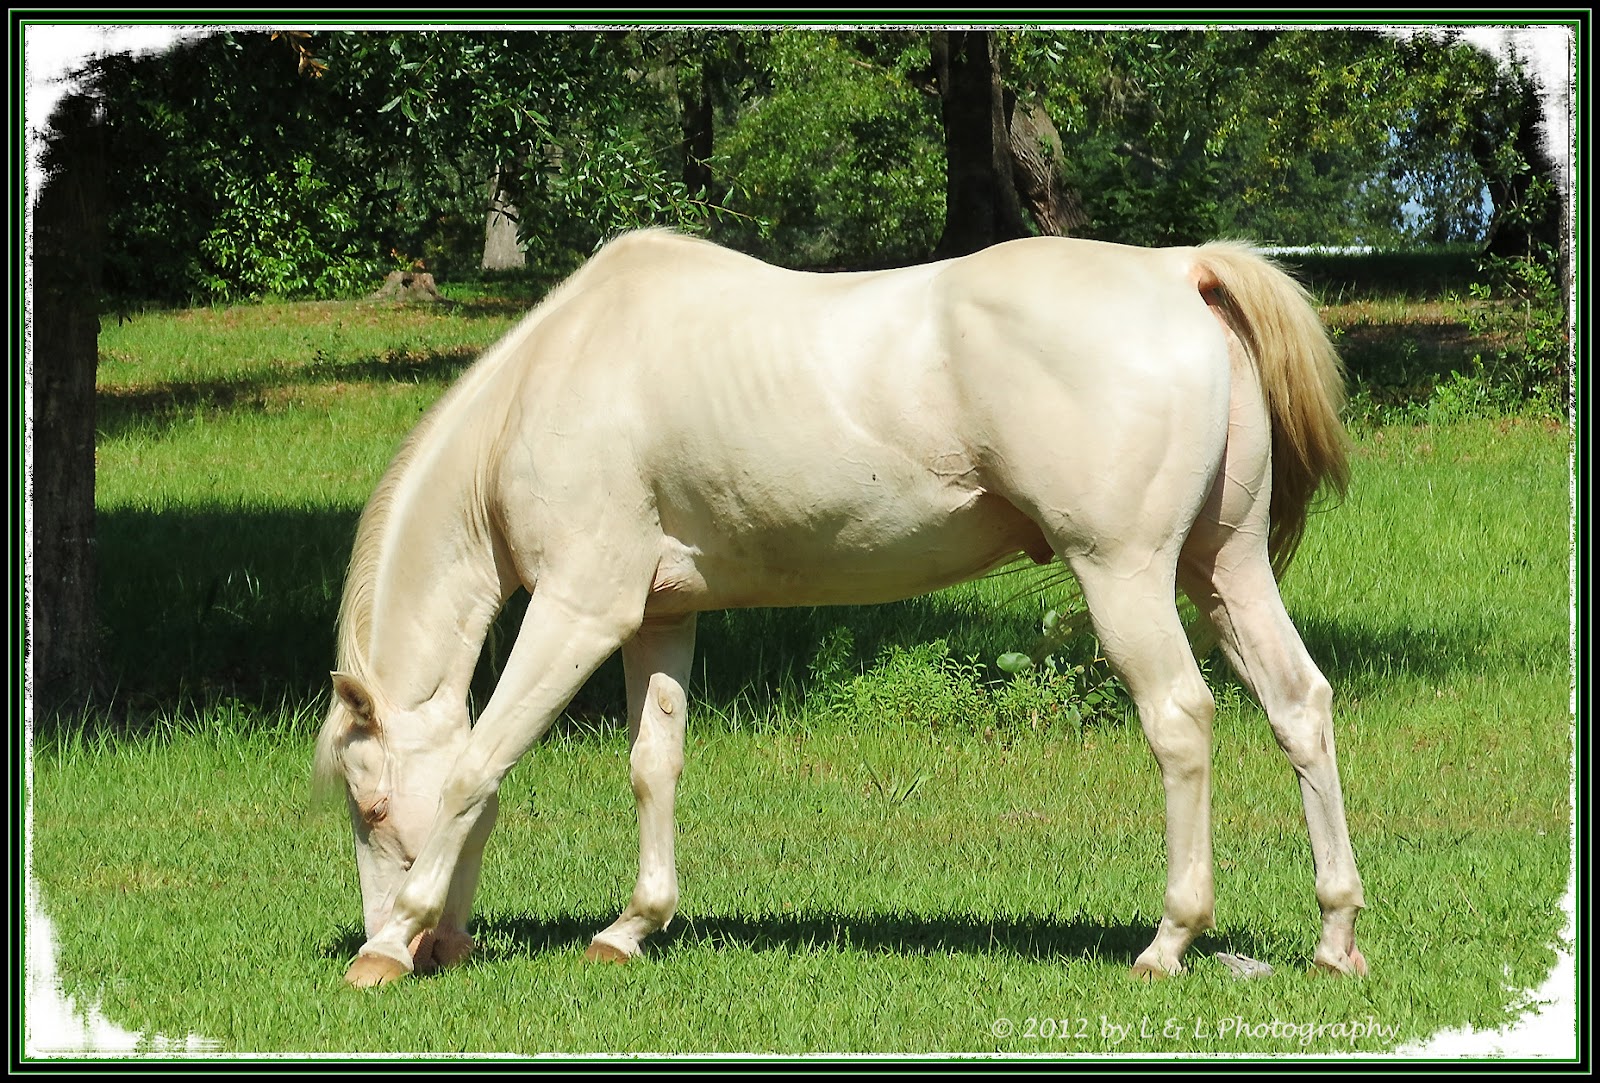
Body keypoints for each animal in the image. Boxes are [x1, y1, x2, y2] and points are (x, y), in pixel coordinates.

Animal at [313, 228, 1366, 988]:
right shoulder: (659, 618)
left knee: (1181, 721)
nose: (428, 945)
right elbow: (653, 765)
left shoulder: (579, 613)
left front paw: (388, 943)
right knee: (1298, 706)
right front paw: (631, 926)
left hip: (1126, 575)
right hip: (1224, 571)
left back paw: (1169, 941)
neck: (555, 379)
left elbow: (477, 766)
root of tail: (1178, 271)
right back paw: (1334, 934)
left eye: (371, 803)